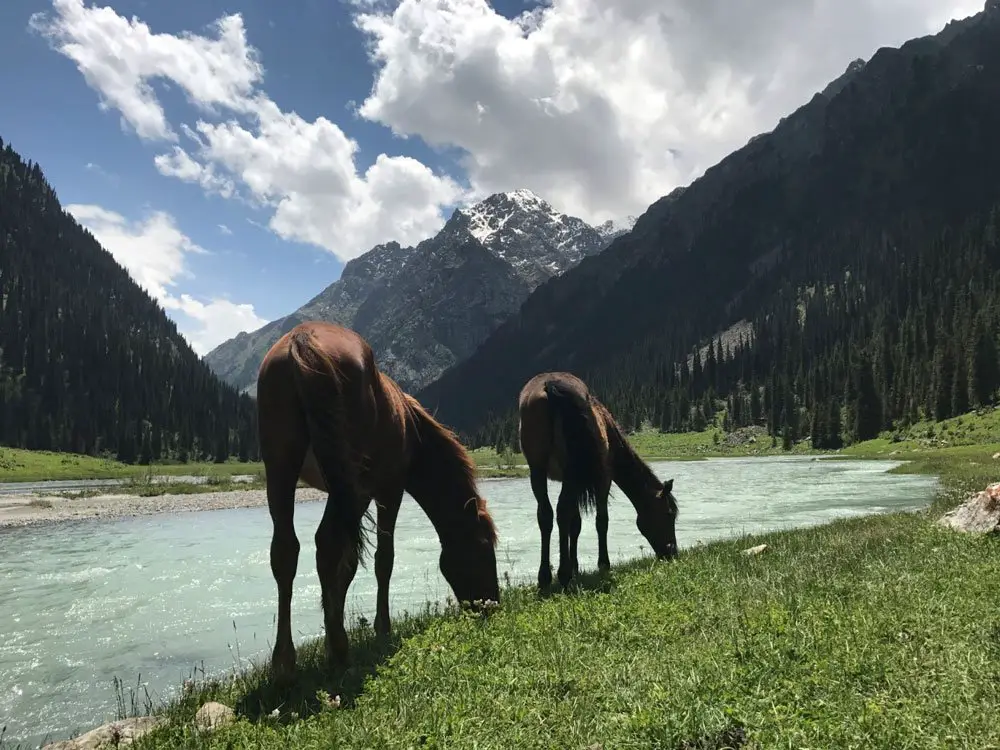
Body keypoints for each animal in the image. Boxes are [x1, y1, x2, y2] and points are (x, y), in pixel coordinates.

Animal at [256, 320, 500, 680]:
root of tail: (303, 341)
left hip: (282, 469)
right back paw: (338, 650)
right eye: (484, 549)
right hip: (346, 483)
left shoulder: (355, 496)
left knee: (287, 551)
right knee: (326, 544)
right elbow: (382, 560)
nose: (491, 605)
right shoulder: (387, 491)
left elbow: (346, 566)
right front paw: (381, 629)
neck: (413, 433)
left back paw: (286, 662)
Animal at [516, 374, 680, 592]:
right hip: (570, 470)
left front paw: (576, 566)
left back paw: (545, 578)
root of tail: (550, 386)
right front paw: (603, 564)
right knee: (561, 512)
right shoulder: (603, 478)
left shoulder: (574, 481)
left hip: (538, 470)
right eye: (668, 514)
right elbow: (601, 521)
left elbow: (575, 524)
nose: (672, 551)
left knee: (547, 515)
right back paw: (563, 574)